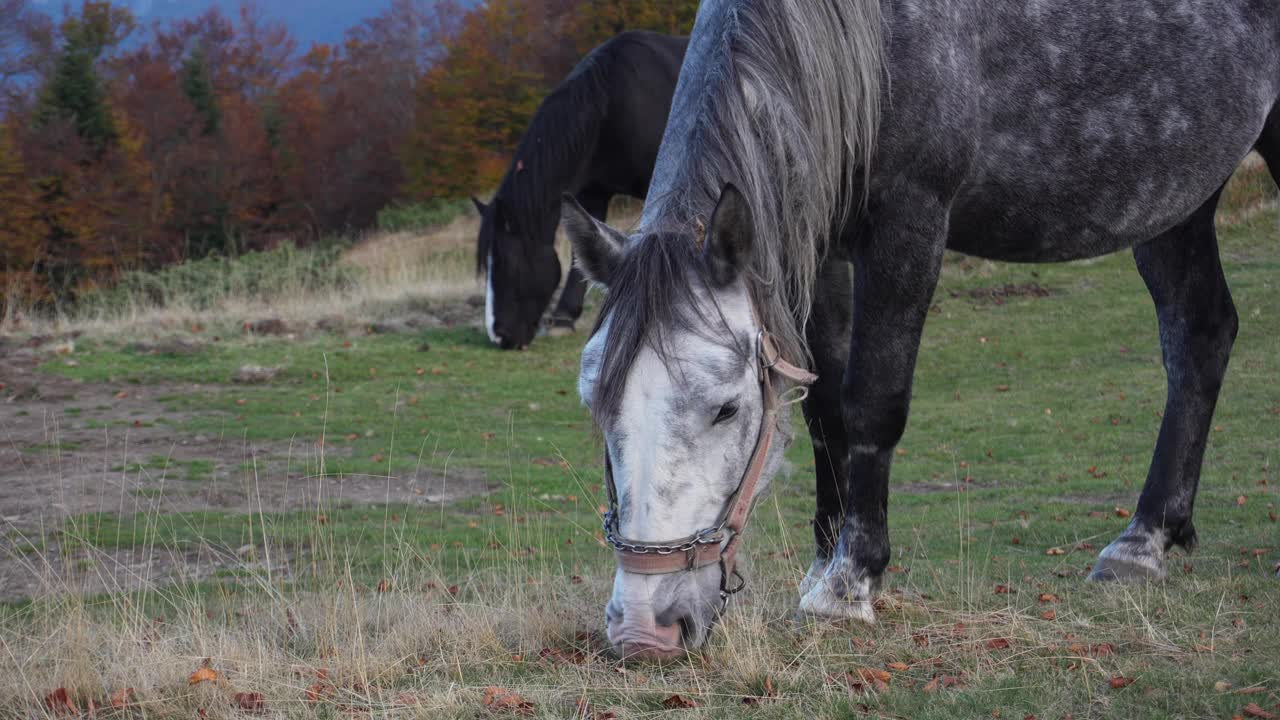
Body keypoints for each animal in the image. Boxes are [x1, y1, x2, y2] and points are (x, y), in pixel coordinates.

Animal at [473, 29, 691, 348]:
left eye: (505, 265)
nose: (500, 336)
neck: (611, 104)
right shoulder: (592, 193)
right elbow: (581, 254)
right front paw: (564, 318)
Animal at [563, 0, 1280, 661]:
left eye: (726, 408)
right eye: (597, 407)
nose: (643, 630)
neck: (872, 41)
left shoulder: (908, 225)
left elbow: (871, 403)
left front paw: (848, 585)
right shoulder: (819, 248)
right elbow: (826, 408)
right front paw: (824, 563)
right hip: (1177, 198)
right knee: (1199, 336)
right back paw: (1146, 540)